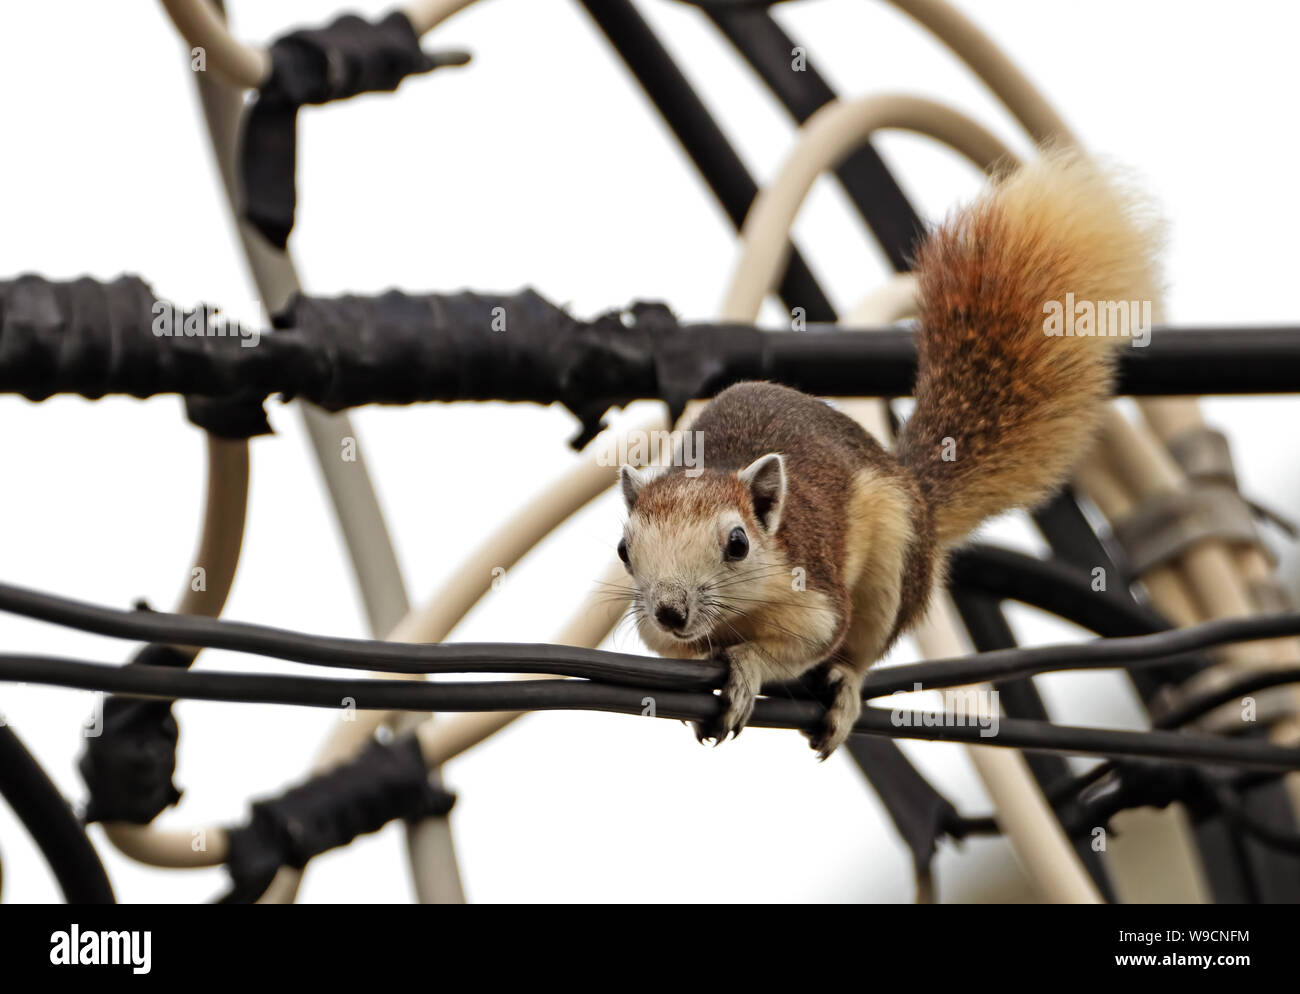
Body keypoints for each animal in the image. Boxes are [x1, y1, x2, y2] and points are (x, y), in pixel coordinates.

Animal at [616, 149, 1163, 758]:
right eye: (624, 549)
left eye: (738, 543)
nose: (671, 609)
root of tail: (915, 488)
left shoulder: (814, 595)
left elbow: (806, 644)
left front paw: (746, 668)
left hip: (894, 569)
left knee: (859, 653)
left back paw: (845, 691)